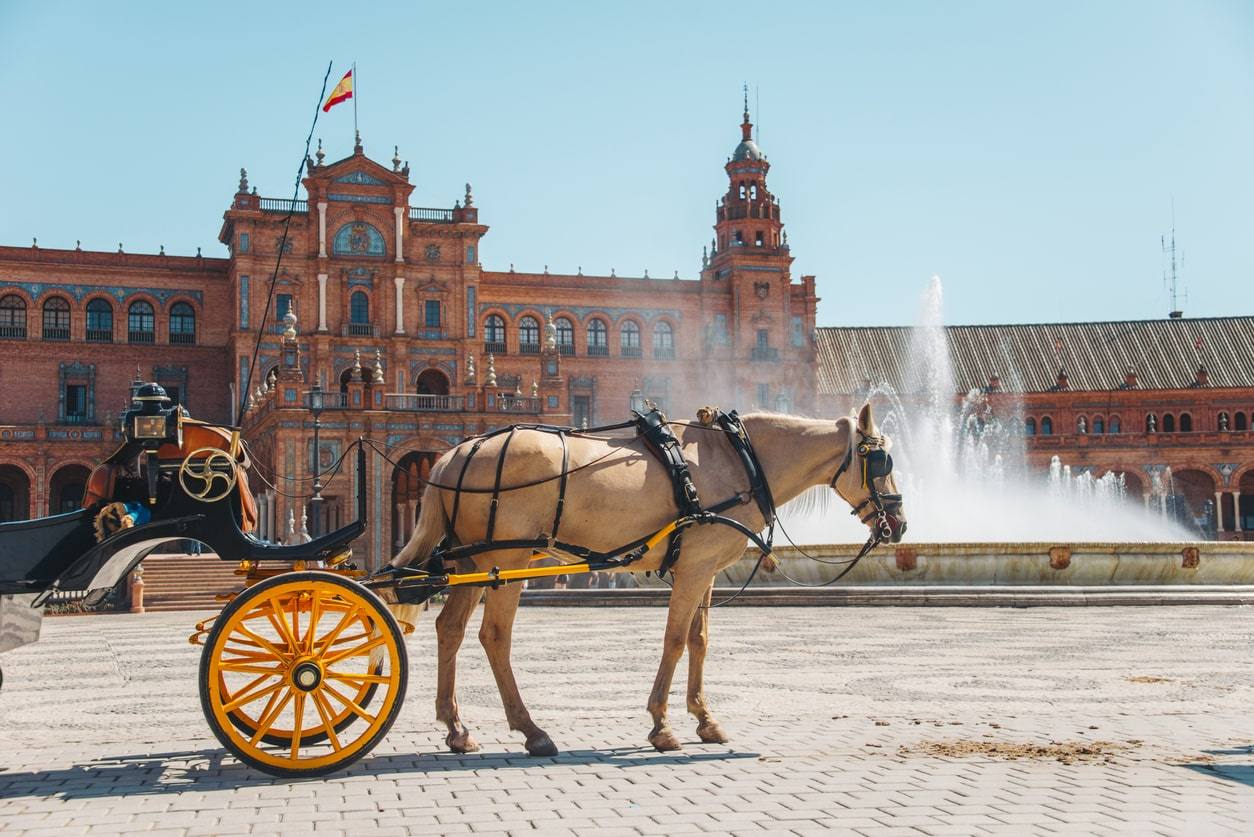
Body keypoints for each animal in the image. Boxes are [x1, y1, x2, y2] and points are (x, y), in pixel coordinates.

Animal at [388, 403, 906, 756]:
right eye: (882, 463)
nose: (898, 525)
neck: (737, 458)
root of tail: (457, 452)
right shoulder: (693, 570)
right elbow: (675, 640)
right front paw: (662, 725)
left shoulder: (705, 569)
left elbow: (699, 641)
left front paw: (705, 718)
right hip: (506, 562)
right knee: (494, 636)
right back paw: (531, 730)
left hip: (471, 566)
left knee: (450, 629)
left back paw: (457, 728)